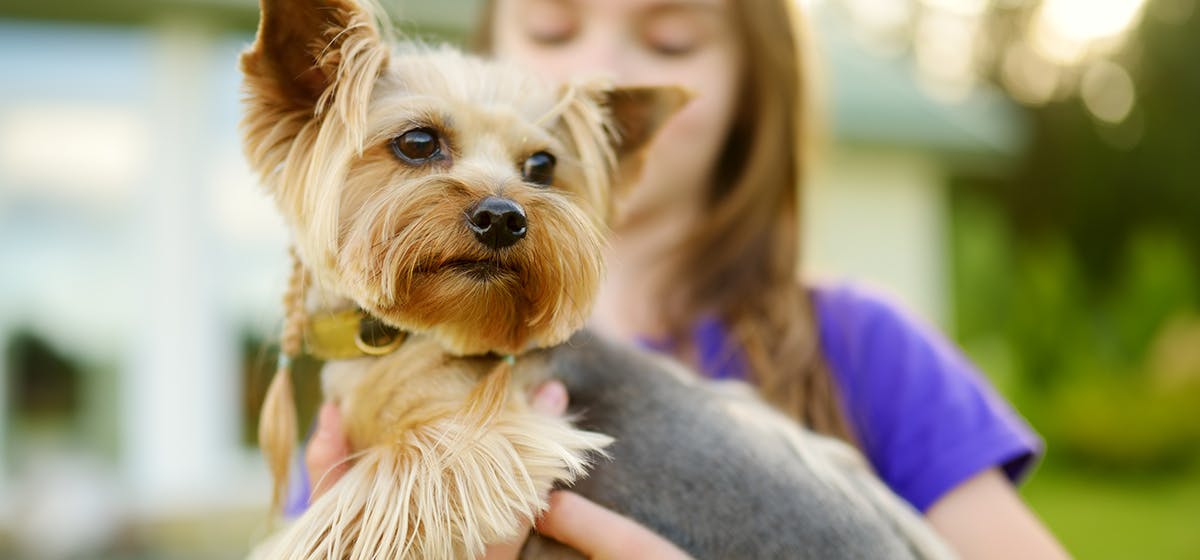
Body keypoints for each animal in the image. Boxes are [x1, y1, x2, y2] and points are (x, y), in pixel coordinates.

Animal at [241, 0, 955, 558]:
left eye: (542, 165)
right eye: (418, 143)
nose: (503, 216)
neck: (410, 335)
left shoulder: (482, 442)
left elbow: (345, 518)